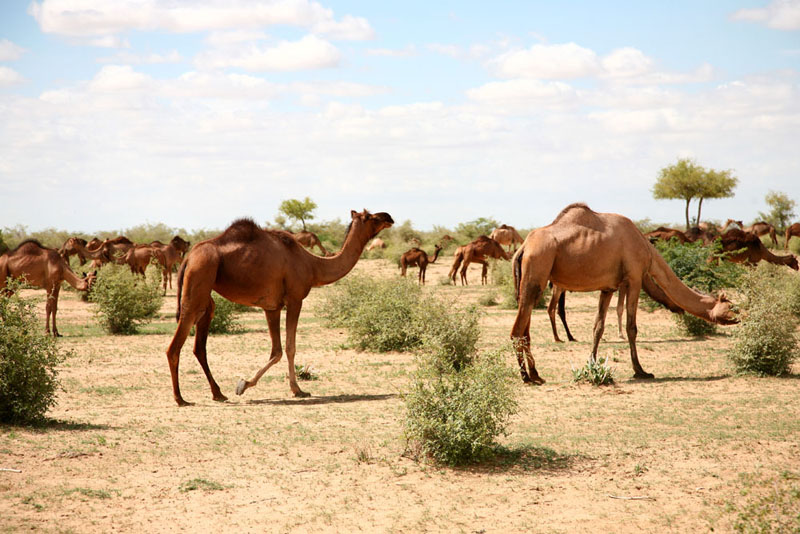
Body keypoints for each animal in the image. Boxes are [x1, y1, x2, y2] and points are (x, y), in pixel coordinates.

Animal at [165, 209, 394, 406]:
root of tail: (188, 258)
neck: (313, 266)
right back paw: (180, 399)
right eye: (370, 216)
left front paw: (244, 384)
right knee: (175, 346)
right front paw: (297, 390)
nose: (388, 217)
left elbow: (276, 351)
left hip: (205, 295)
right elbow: (290, 347)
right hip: (199, 277)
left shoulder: (271, 307)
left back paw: (218, 393)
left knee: (199, 346)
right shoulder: (295, 299)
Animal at [512, 204, 736, 386]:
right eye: (731, 306)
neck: (648, 250)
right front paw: (641, 371)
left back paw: (536, 375)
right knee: (517, 330)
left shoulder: (608, 287)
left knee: (526, 330)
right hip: (537, 267)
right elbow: (632, 327)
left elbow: (598, 327)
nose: (739, 317)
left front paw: (592, 365)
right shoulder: (634, 278)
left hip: (531, 280)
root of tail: (522, 248)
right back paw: (526, 377)